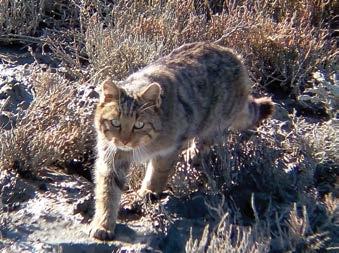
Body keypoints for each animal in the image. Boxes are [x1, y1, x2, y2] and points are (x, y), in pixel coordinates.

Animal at [89, 41, 274, 239]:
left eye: (139, 125)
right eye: (115, 122)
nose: (124, 141)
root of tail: (234, 55)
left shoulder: (168, 150)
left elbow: (157, 174)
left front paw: (147, 192)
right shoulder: (111, 156)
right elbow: (107, 191)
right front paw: (103, 223)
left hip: (214, 123)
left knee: (204, 141)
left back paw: (193, 153)